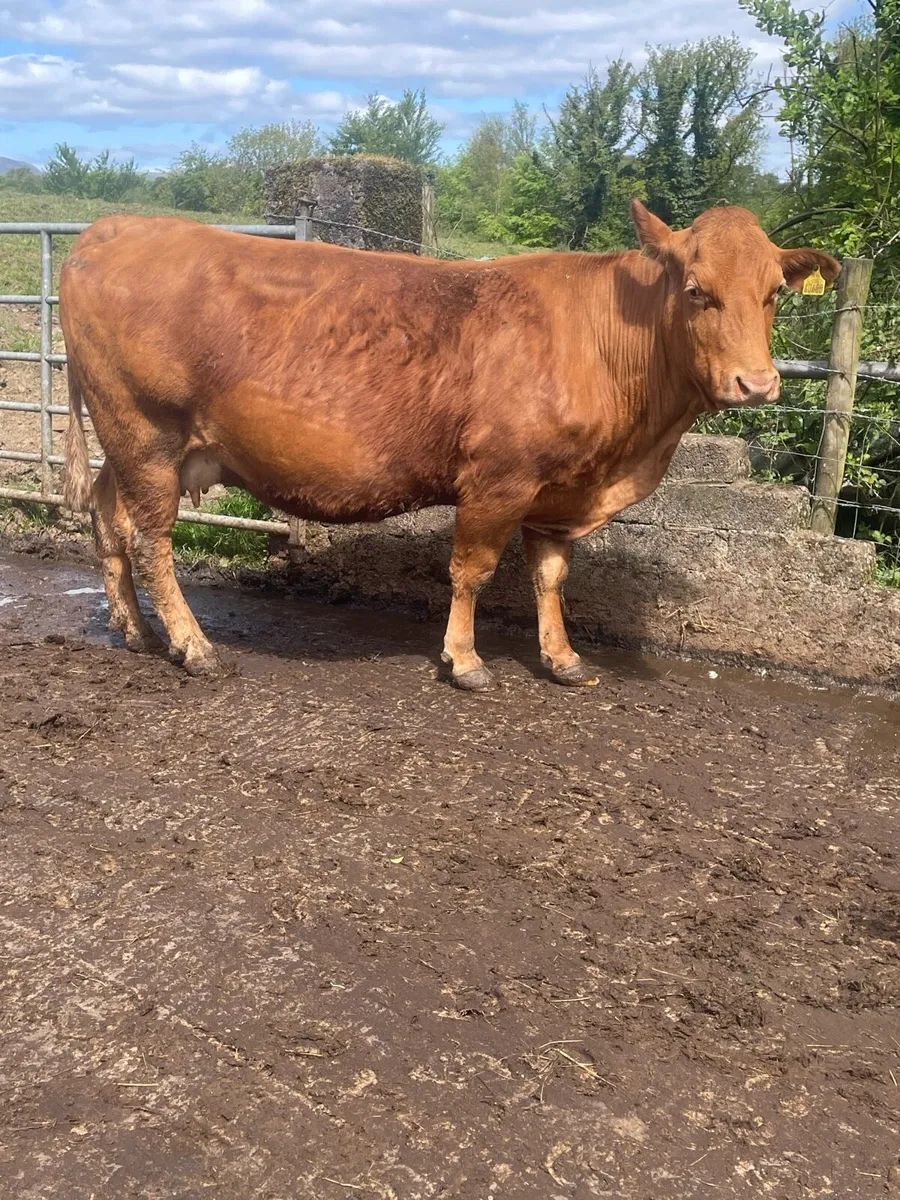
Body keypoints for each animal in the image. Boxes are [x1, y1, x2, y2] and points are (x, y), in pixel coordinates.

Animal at [60, 201, 839, 689]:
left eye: (775, 292)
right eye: (697, 290)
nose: (757, 383)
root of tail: (111, 230)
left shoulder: (557, 493)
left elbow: (551, 576)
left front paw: (562, 658)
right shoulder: (498, 478)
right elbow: (472, 571)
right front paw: (464, 661)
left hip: (127, 445)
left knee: (109, 519)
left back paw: (134, 630)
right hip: (145, 434)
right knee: (153, 539)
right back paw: (193, 647)